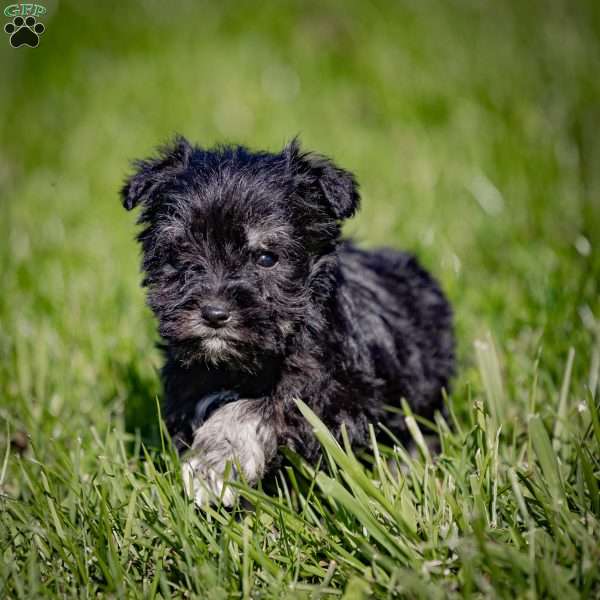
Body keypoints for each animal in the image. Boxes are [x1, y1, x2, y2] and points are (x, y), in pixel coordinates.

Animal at [119, 138, 452, 508]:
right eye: (181, 254)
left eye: (267, 258)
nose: (214, 314)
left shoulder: (341, 399)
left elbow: (266, 406)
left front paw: (216, 464)